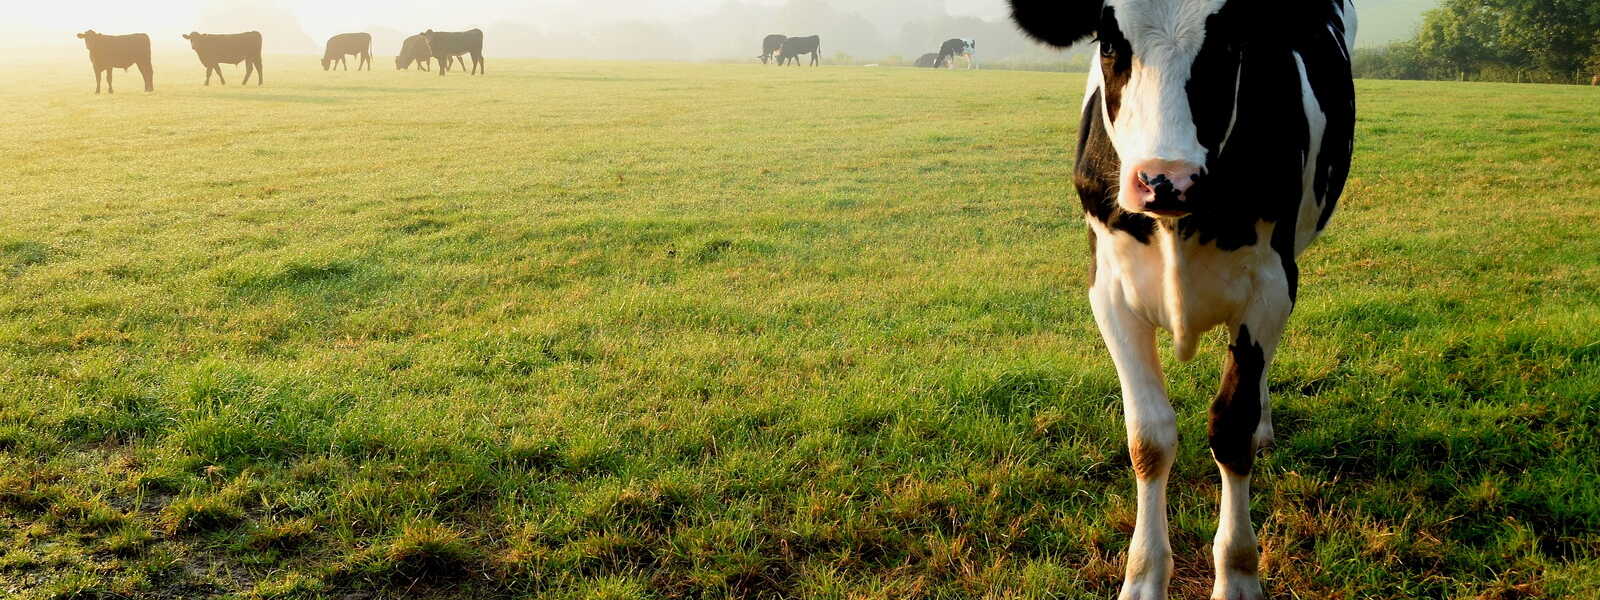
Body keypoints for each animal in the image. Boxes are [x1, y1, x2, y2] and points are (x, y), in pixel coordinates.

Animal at [1007, 1, 1357, 599]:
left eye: (1232, 42)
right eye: (1108, 43)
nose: (1166, 179)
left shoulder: (1272, 284)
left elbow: (1232, 426)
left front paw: (1237, 577)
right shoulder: (1110, 289)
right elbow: (1149, 438)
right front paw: (1144, 577)